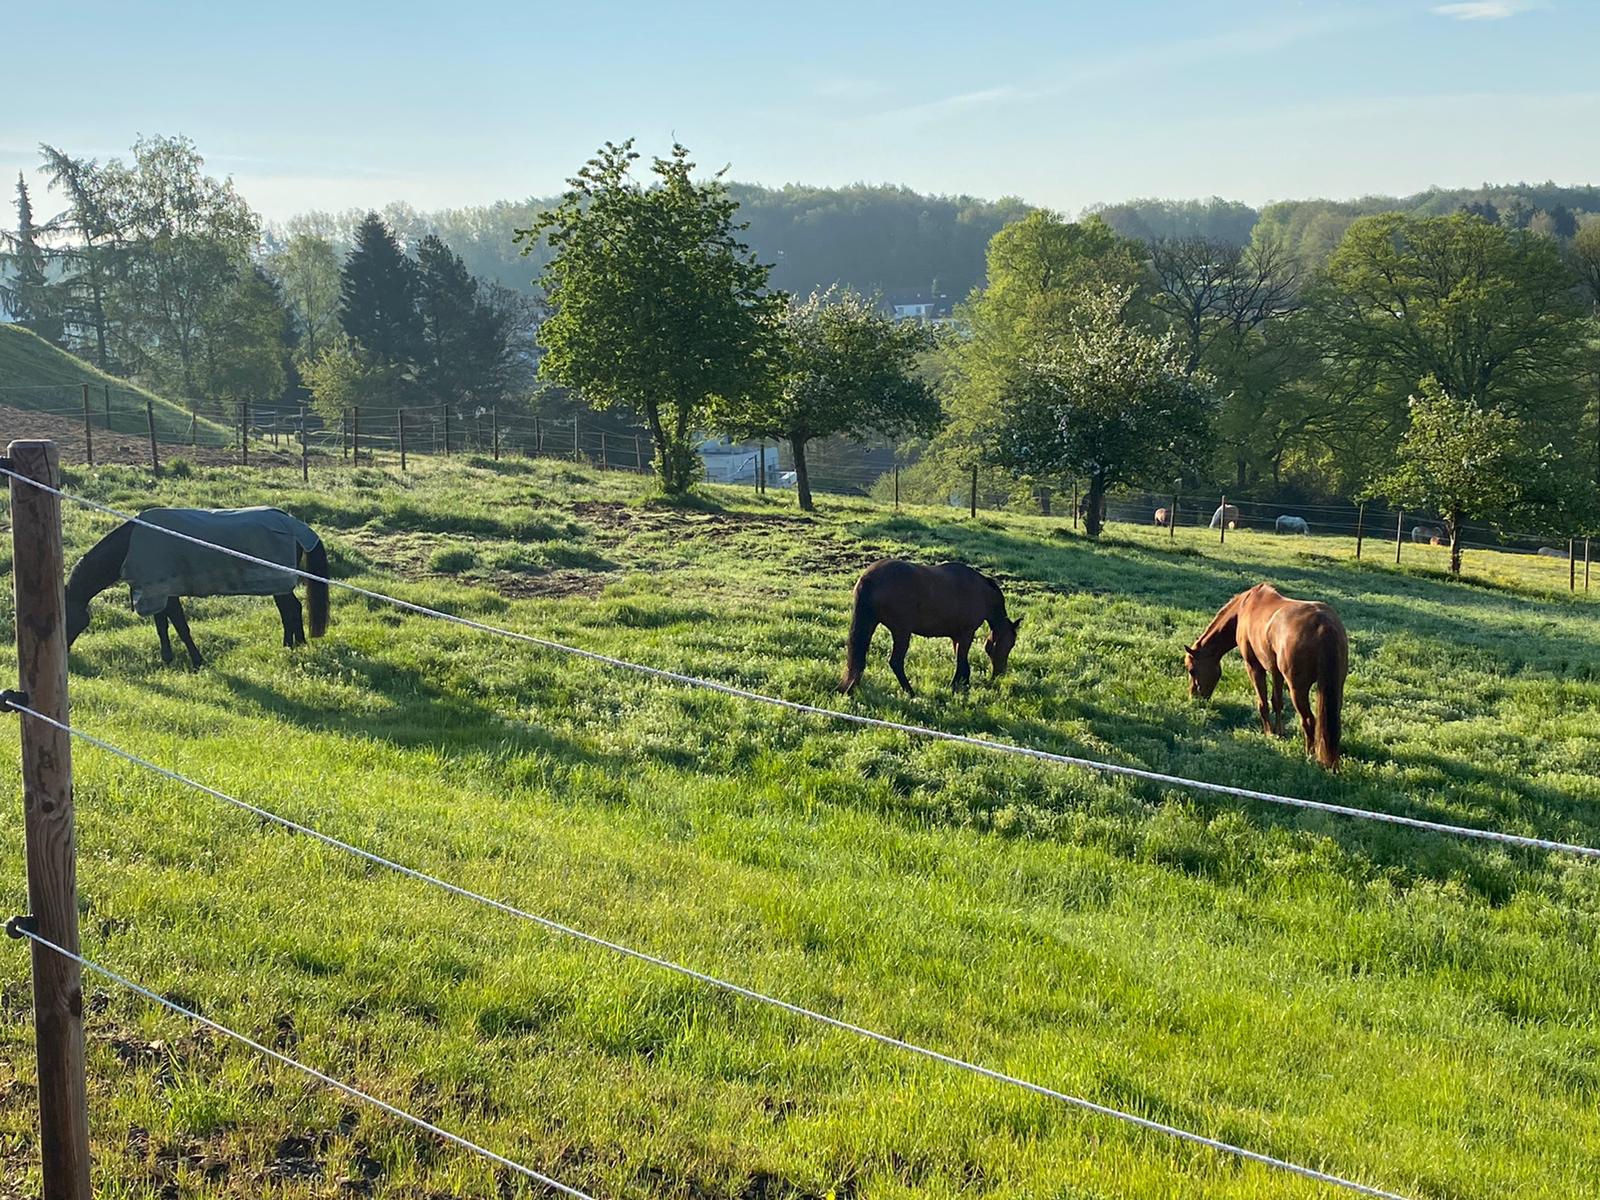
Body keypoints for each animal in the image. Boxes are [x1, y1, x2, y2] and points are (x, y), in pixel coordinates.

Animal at [66, 507, 330, 667]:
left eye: (73, 621)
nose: (65, 652)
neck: (132, 544)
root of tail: (294, 524)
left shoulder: (164, 592)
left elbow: (180, 627)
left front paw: (197, 661)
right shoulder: (157, 592)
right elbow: (162, 627)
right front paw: (167, 659)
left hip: (279, 582)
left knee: (291, 609)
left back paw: (292, 645)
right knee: (290, 609)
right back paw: (295, 644)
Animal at [839, 559, 1021, 697]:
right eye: (1010, 645)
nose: (999, 675)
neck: (982, 593)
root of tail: (869, 578)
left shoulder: (956, 636)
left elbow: (960, 660)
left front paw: (961, 685)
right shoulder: (966, 634)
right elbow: (962, 662)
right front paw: (958, 686)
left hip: (871, 624)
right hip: (901, 632)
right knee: (895, 662)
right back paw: (910, 692)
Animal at [1183, 582, 1347, 769]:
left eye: (1191, 670)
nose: (1194, 698)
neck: (1245, 607)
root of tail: (1324, 625)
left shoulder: (1254, 667)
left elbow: (1263, 703)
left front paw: (1269, 733)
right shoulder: (1276, 671)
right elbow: (1277, 702)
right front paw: (1279, 733)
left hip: (1297, 689)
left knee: (1308, 720)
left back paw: (1309, 757)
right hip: (1335, 688)